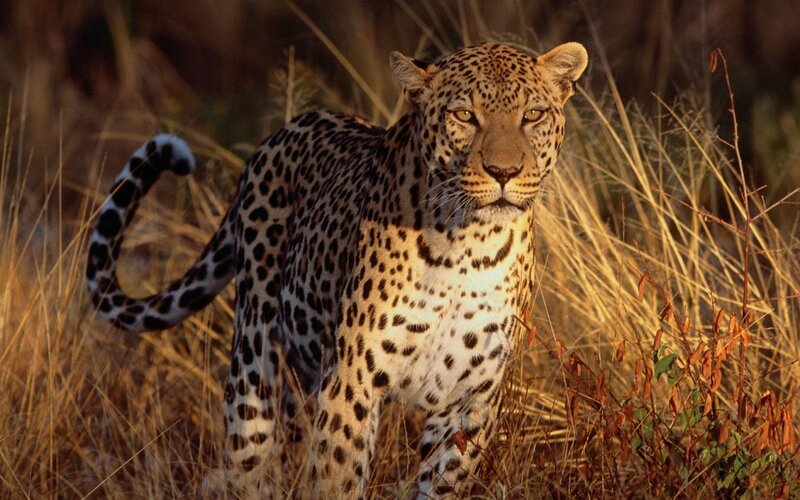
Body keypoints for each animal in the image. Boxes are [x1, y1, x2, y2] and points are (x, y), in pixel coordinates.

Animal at [86, 41, 588, 498]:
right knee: (248, 458)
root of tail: (282, 132)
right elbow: (337, 477)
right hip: (253, 360)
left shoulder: (469, 398)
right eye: (464, 116)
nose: (504, 172)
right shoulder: (352, 378)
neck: (468, 247)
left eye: (533, 115)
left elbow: (441, 482)